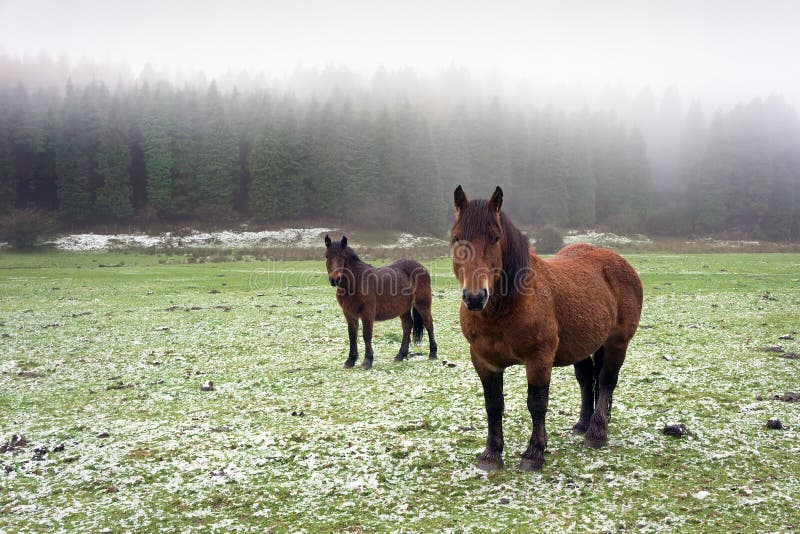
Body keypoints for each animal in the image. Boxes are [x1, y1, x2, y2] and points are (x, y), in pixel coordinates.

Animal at [324, 237, 438, 370]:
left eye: (343, 256)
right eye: (327, 256)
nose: (334, 280)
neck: (357, 281)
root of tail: (421, 267)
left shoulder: (367, 313)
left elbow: (366, 335)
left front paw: (367, 361)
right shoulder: (349, 313)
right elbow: (352, 335)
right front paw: (350, 361)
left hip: (423, 305)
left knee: (429, 324)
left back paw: (433, 354)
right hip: (403, 308)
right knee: (407, 326)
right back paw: (400, 355)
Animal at [450, 188, 644, 474]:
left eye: (495, 237)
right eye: (456, 238)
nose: (475, 297)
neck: (507, 307)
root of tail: (619, 262)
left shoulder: (539, 358)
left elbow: (537, 403)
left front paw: (534, 453)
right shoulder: (484, 361)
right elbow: (493, 405)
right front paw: (491, 454)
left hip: (617, 343)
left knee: (607, 380)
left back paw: (597, 432)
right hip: (582, 346)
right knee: (587, 380)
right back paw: (583, 424)